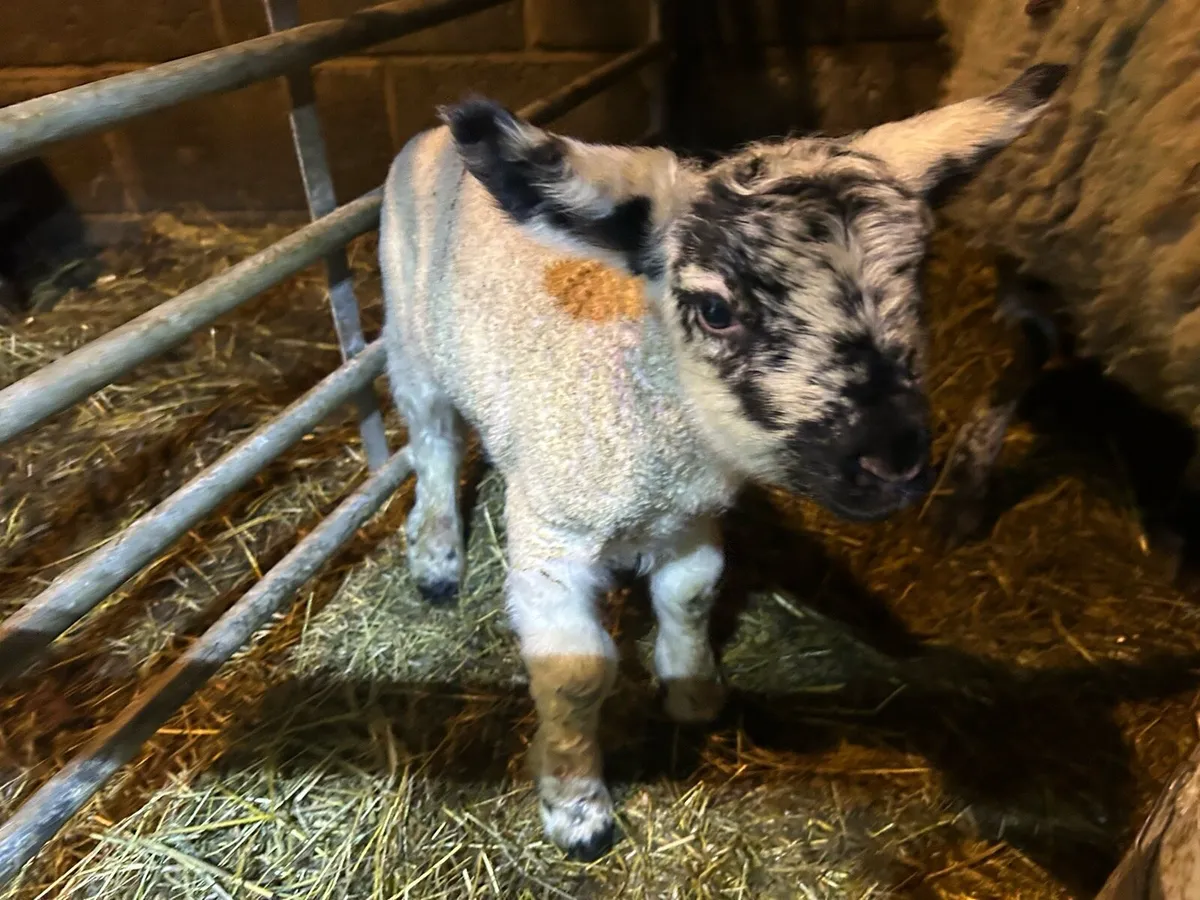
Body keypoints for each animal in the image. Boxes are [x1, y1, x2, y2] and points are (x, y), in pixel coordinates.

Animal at [378, 64, 1065, 859]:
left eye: (916, 285)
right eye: (715, 310)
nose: (893, 463)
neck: (658, 419)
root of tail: (428, 138)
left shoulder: (691, 520)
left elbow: (692, 595)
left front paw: (694, 690)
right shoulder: (554, 539)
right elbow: (577, 675)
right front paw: (577, 806)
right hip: (409, 334)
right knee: (431, 440)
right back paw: (436, 557)